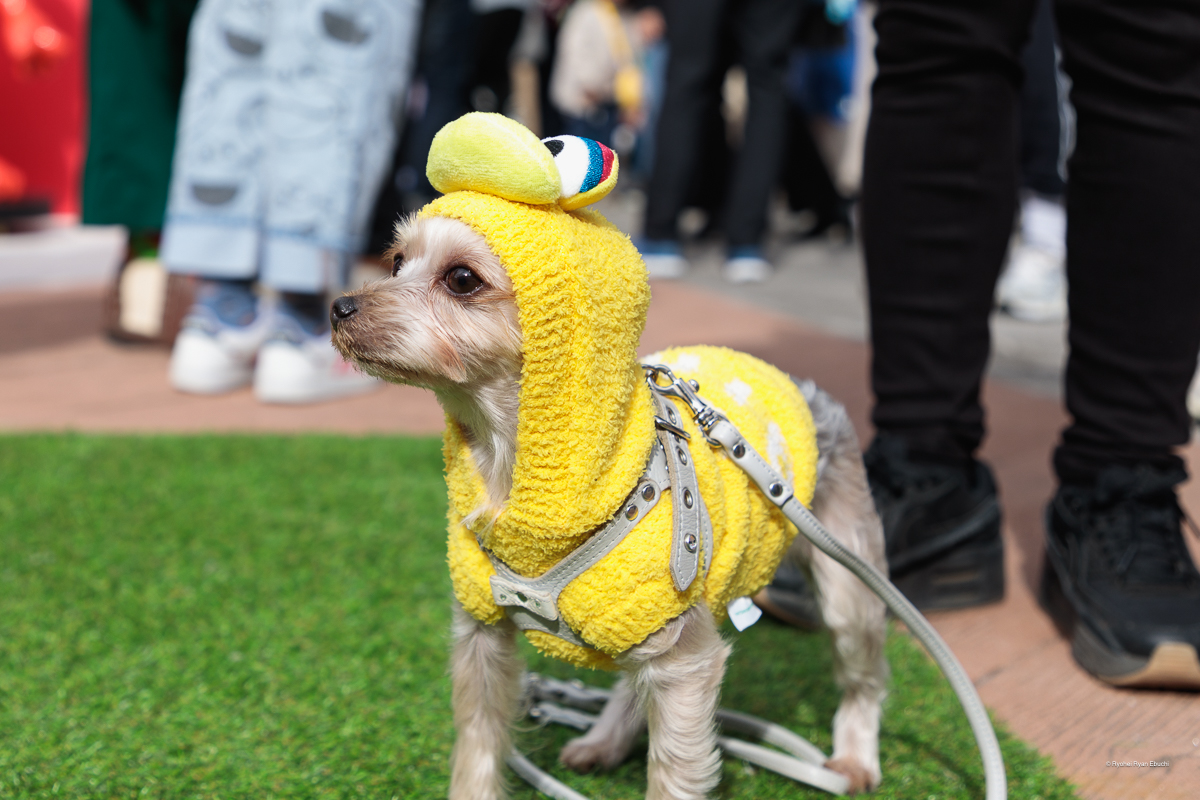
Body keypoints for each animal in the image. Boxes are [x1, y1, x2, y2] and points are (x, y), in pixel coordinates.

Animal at [324, 112, 888, 800]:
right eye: (397, 260)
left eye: (461, 279)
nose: (339, 307)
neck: (506, 463)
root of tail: (801, 384)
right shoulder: (482, 629)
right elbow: (478, 742)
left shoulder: (686, 655)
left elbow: (675, 767)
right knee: (630, 678)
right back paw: (603, 740)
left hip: (846, 572)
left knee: (863, 673)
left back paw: (854, 760)